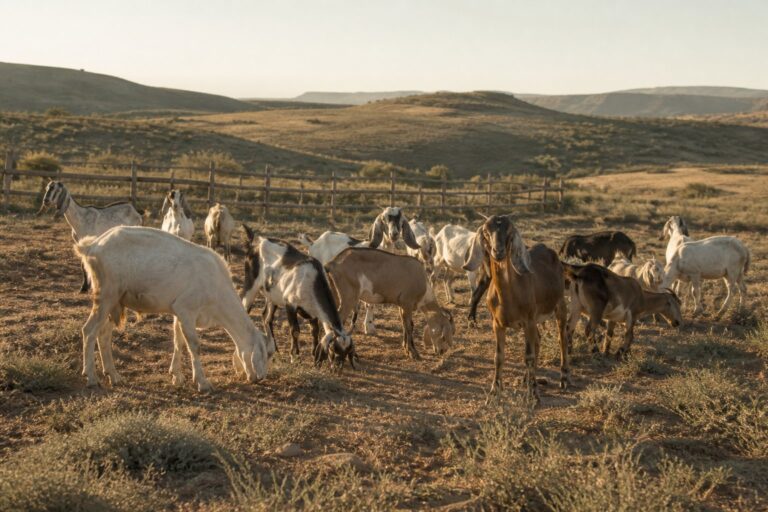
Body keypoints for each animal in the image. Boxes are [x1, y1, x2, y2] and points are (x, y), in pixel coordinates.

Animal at [74, 226, 273, 391]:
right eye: (264, 354)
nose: (260, 378)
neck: (216, 288)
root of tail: (92, 246)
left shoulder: (179, 312)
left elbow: (179, 341)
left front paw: (176, 376)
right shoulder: (187, 309)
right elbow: (194, 345)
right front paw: (202, 383)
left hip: (115, 301)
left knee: (103, 334)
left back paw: (114, 376)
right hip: (106, 295)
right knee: (89, 331)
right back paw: (91, 377)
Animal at [242, 226, 354, 366]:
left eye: (346, 352)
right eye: (333, 349)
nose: (338, 367)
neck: (312, 279)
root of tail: (256, 242)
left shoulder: (313, 312)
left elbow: (315, 330)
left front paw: (313, 354)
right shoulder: (291, 304)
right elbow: (295, 331)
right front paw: (295, 357)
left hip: (272, 297)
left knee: (266, 318)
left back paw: (275, 351)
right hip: (251, 286)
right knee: (245, 308)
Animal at [325, 247, 454, 360]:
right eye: (443, 337)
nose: (442, 351)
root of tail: (332, 263)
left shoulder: (401, 306)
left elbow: (404, 324)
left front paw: (405, 348)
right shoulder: (407, 304)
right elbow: (409, 326)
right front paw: (413, 353)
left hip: (335, 294)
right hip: (349, 298)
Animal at [469, 216, 569, 399]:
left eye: (509, 231)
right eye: (486, 231)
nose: (498, 251)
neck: (509, 297)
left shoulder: (528, 321)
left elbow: (528, 356)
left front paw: (534, 394)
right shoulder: (497, 324)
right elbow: (499, 356)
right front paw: (494, 390)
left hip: (559, 304)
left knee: (562, 339)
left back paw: (564, 378)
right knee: (538, 340)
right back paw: (526, 378)